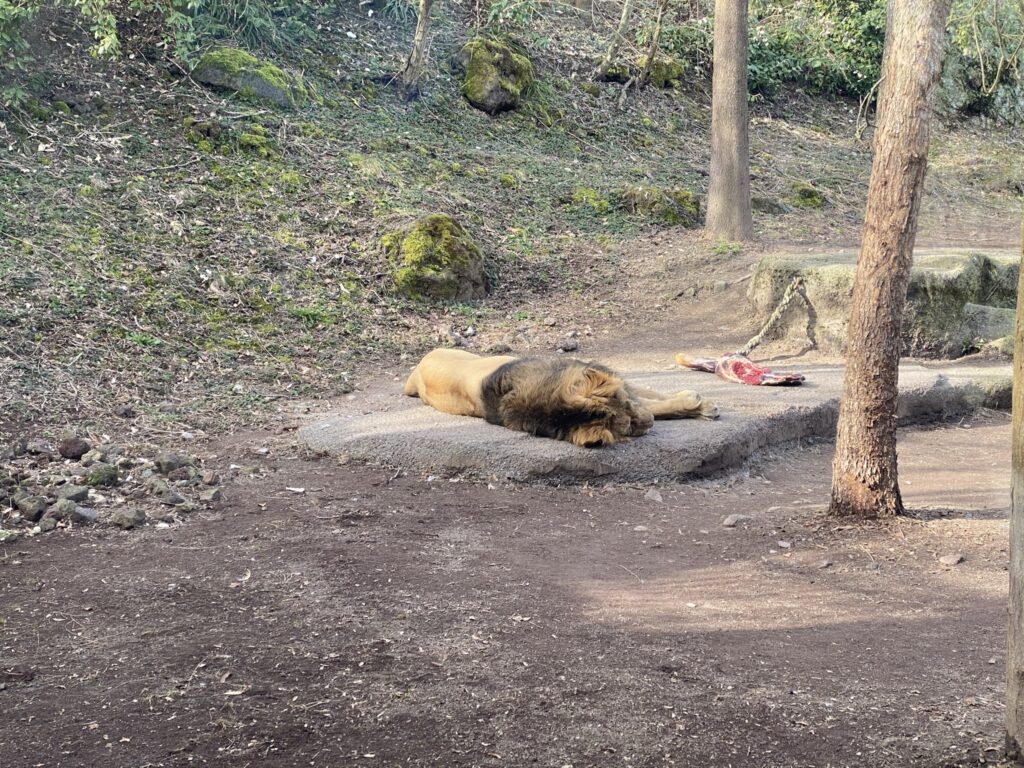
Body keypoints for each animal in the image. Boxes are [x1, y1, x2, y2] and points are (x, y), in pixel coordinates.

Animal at [403, 348, 719, 447]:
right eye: (627, 428)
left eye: (624, 403)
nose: (649, 423)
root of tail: (416, 371)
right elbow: (654, 401)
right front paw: (696, 403)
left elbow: (647, 395)